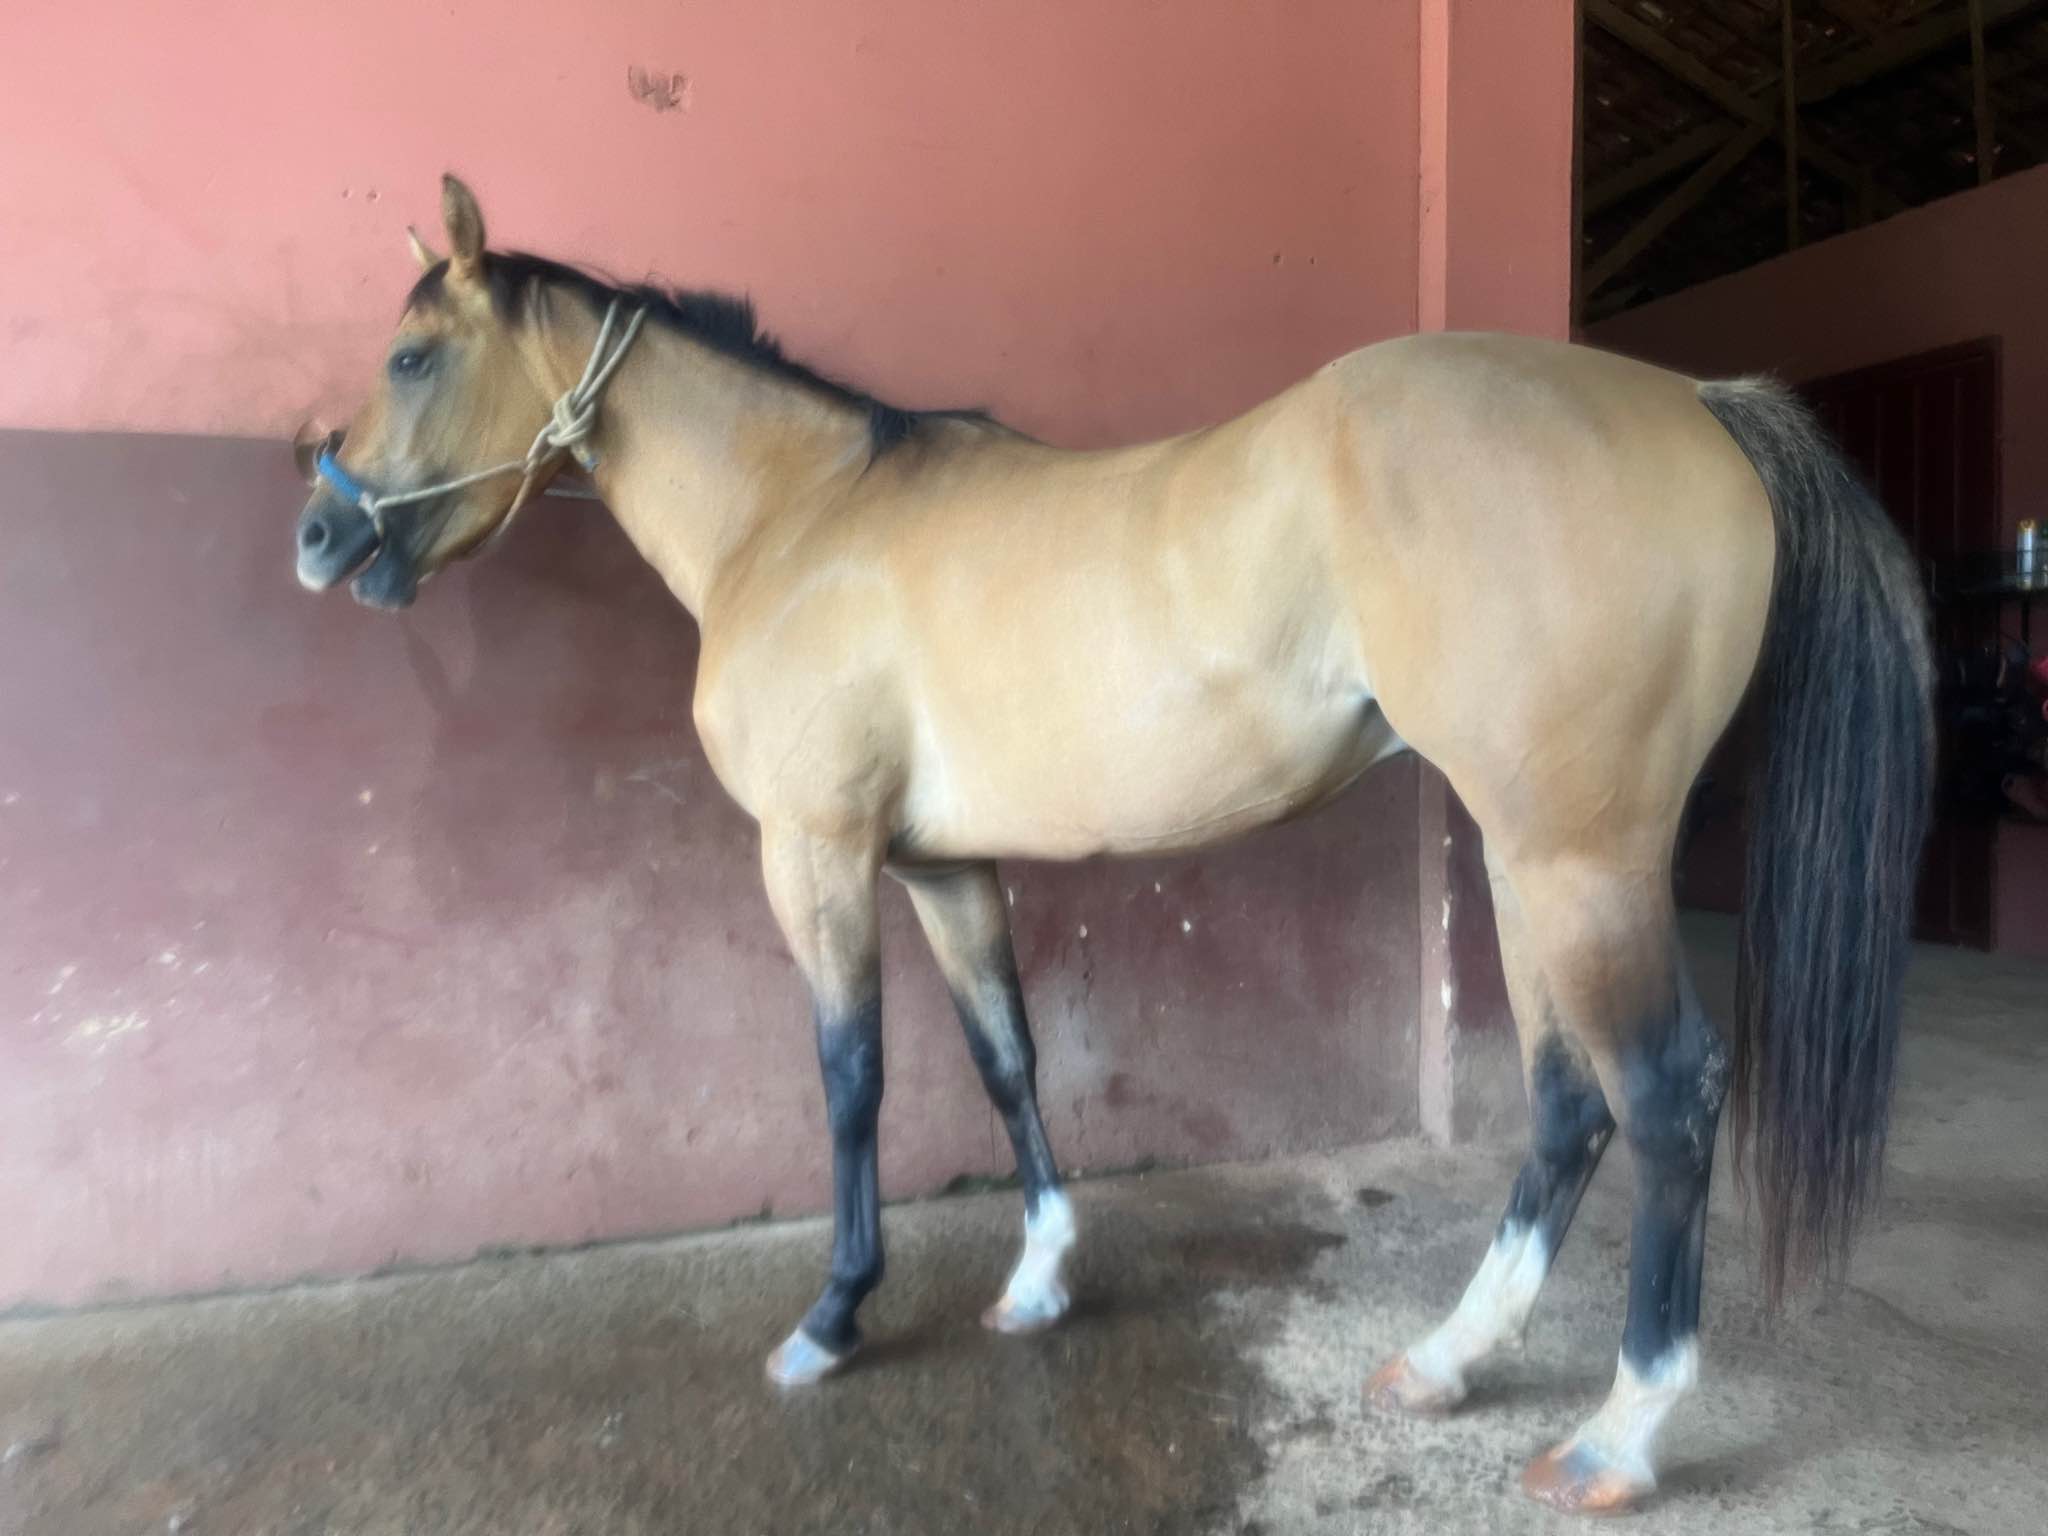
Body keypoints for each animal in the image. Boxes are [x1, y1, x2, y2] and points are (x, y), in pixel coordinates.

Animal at [292, 176, 1932, 1513]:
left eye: (411, 356)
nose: (319, 538)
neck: (800, 517)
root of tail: (1695, 402)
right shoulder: (942, 865)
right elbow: (1006, 1056)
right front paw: (1036, 1280)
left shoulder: (816, 853)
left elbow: (851, 1076)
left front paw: (833, 1317)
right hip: (1523, 862)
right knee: (1566, 1102)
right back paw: (1450, 1357)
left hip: (1583, 863)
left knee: (1664, 1098)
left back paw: (1618, 1433)